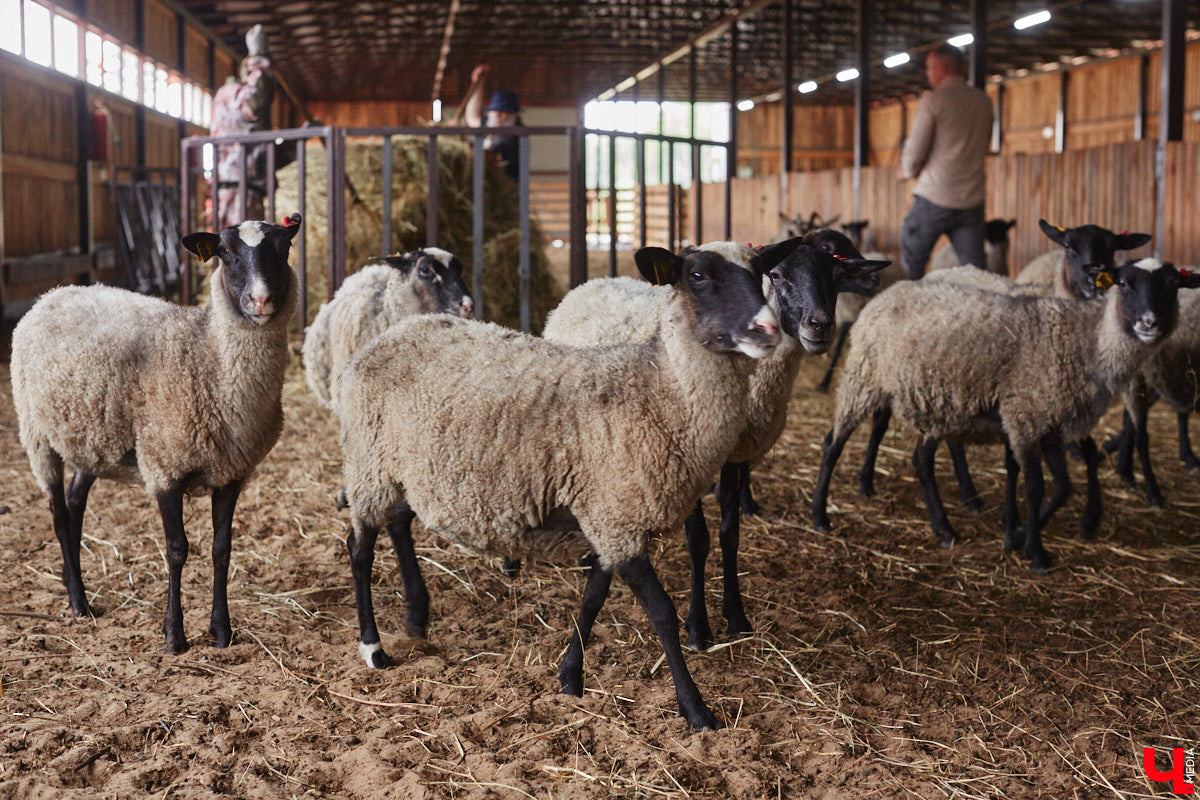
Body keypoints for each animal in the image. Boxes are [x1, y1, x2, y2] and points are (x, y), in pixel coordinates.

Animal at [11, 215, 302, 652]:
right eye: (225, 254)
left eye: (283, 249)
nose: (261, 300)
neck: (208, 357)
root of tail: (54, 293)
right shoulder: (165, 467)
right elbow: (177, 550)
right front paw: (174, 636)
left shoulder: (232, 473)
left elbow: (222, 549)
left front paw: (221, 631)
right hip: (37, 435)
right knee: (59, 514)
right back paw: (78, 602)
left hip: (91, 440)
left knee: (76, 502)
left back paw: (72, 581)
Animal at [333, 244, 792, 734]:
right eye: (698, 275)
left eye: (761, 272)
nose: (767, 328)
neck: (659, 392)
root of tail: (394, 333)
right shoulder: (617, 520)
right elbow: (662, 614)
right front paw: (696, 709)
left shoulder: (608, 514)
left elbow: (593, 597)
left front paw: (571, 676)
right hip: (368, 463)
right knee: (359, 551)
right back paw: (373, 648)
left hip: (401, 468)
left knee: (399, 523)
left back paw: (417, 619)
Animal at [544, 236, 892, 652]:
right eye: (778, 275)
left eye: (836, 273)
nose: (820, 326)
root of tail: (595, 281)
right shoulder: (687, 452)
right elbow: (699, 539)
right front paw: (698, 627)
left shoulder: (736, 455)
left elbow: (730, 534)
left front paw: (736, 616)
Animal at [811, 253, 1195, 573]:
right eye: (1125, 282)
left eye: (1173, 285)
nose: (1149, 322)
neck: (1084, 341)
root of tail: (886, 294)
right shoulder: (1025, 417)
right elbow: (1037, 486)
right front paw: (1035, 552)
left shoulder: (1050, 421)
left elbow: (1063, 486)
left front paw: (1018, 533)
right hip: (864, 377)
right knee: (833, 442)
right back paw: (820, 516)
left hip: (931, 399)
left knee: (920, 459)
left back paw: (944, 527)